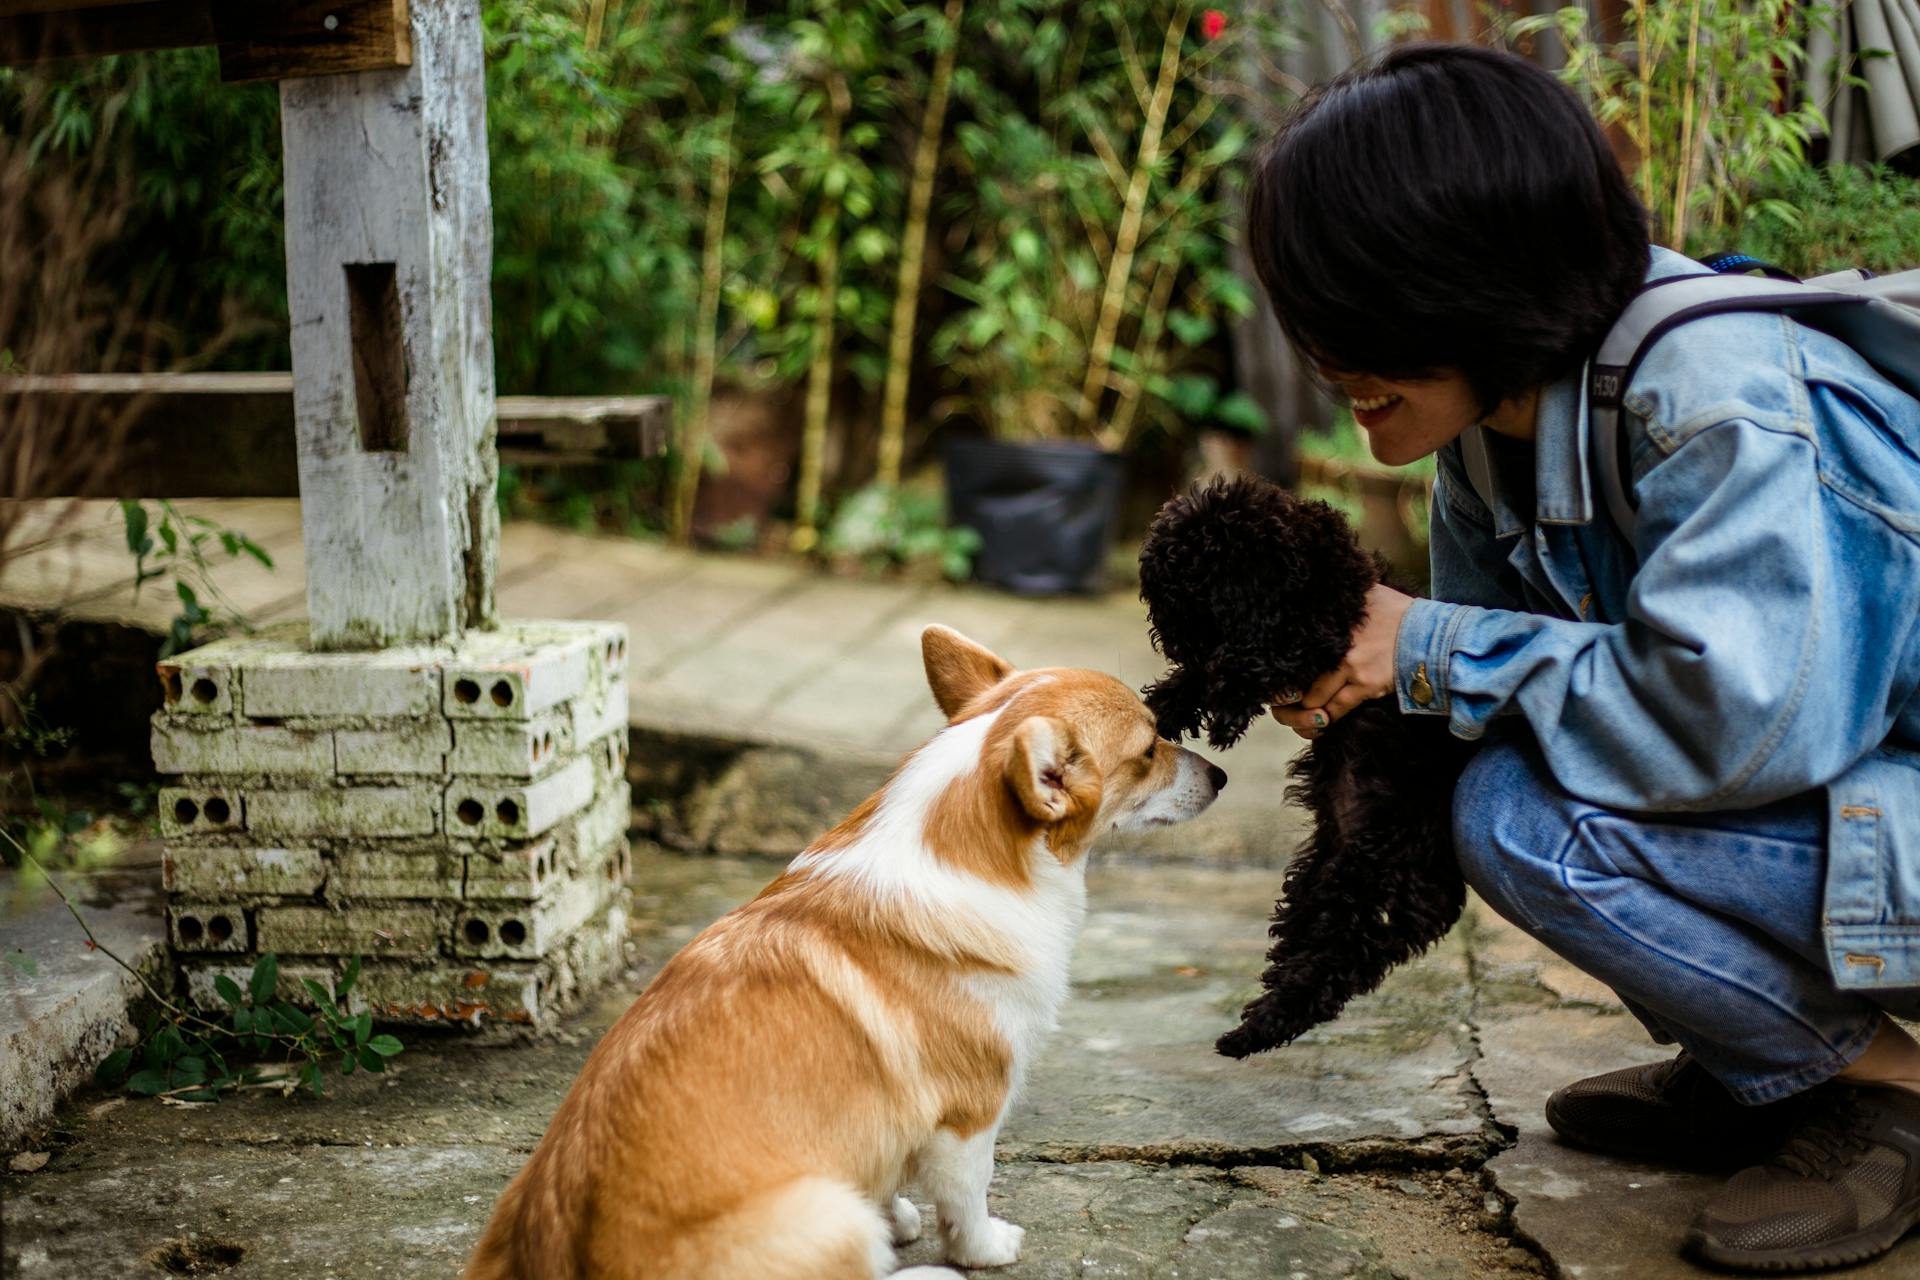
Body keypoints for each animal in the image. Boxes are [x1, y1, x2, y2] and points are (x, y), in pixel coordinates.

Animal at [464, 629, 1228, 1280]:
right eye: (1150, 749)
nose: (1222, 777)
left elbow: (888, 1174)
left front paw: (900, 1216)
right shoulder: (969, 1117)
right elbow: (968, 1199)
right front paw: (985, 1249)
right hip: (826, 1210)